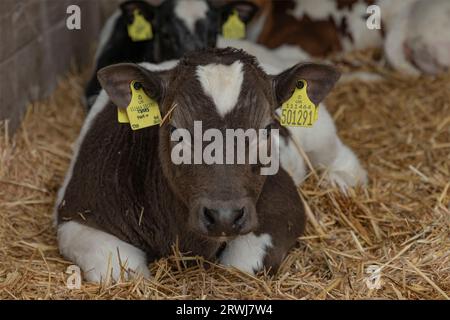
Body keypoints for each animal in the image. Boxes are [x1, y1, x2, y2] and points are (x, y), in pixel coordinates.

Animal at [54, 47, 368, 282]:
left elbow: (238, 265)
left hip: (319, 134)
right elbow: (120, 271)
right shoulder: (75, 212)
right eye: (175, 130)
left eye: (268, 129)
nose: (224, 216)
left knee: (339, 156)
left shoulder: (285, 204)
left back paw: (340, 182)